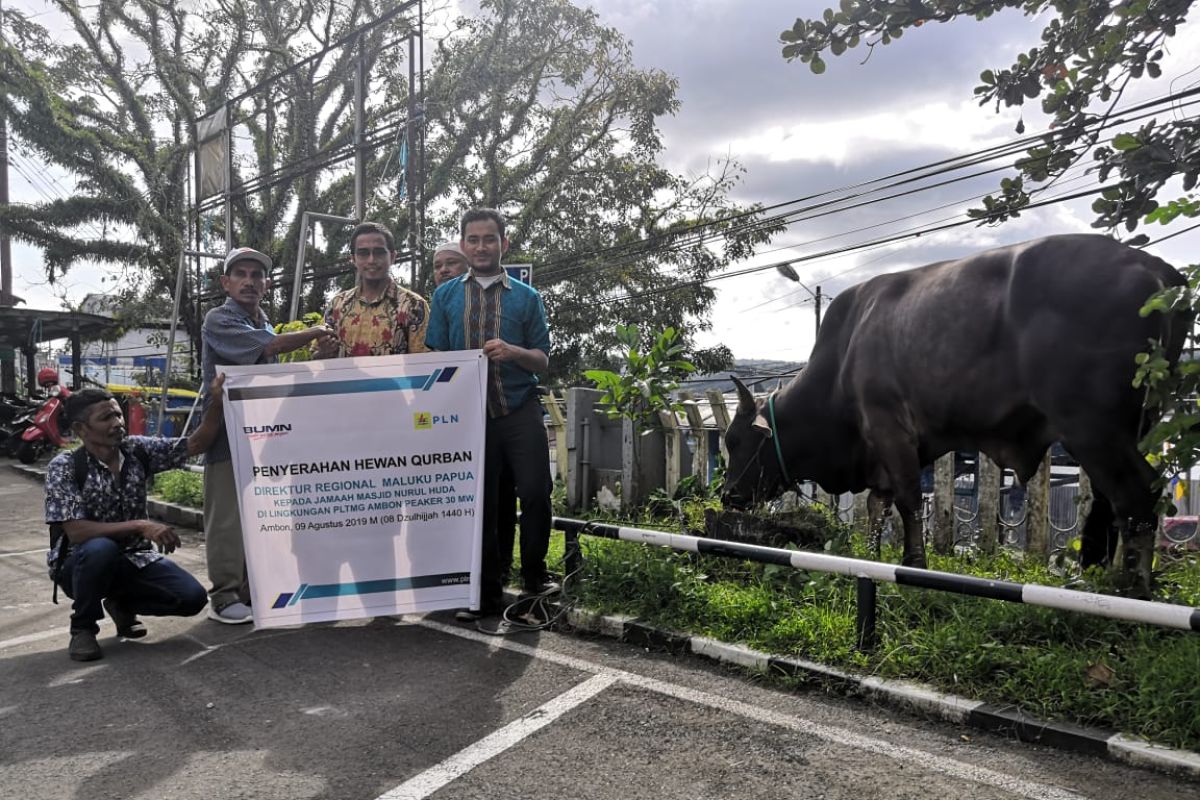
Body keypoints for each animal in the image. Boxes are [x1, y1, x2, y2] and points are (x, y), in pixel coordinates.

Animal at [715, 235, 1185, 592]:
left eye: (737, 441)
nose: (728, 495)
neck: (841, 360)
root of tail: (1155, 267)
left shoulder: (889, 429)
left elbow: (906, 500)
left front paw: (913, 562)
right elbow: (878, 506)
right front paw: (873, 555)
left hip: (1093, 428)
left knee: (1137, 497)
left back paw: (1133, 589)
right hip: (1132, 426)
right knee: (1116, 502)